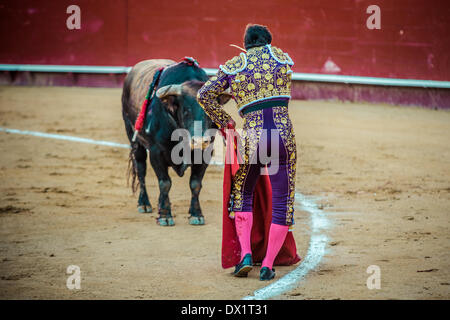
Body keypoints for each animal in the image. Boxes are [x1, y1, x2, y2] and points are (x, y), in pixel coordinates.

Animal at [121, 58, 230, 226]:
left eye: (210, 110)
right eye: (186, 110)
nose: (199, 141)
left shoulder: (205, 153)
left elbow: (195, 184)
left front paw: (196, 214)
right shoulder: (156, 152)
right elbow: (165, 183)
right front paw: (165, 215)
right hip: (134, 138)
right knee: (141, 169)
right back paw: (144, 204)